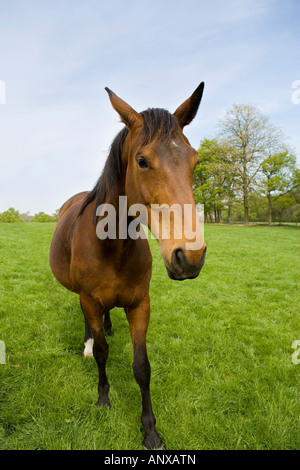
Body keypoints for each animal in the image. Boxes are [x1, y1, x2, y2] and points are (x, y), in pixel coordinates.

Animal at [50, 83, 207, 448]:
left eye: (194, 161)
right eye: (142, 161)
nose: (190, 257)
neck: (111, 246)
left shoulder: (139, 304)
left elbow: (141, 367)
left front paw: (150, 430)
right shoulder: (89, 299)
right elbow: (104, 352)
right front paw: (103, 398)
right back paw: (88, 343)